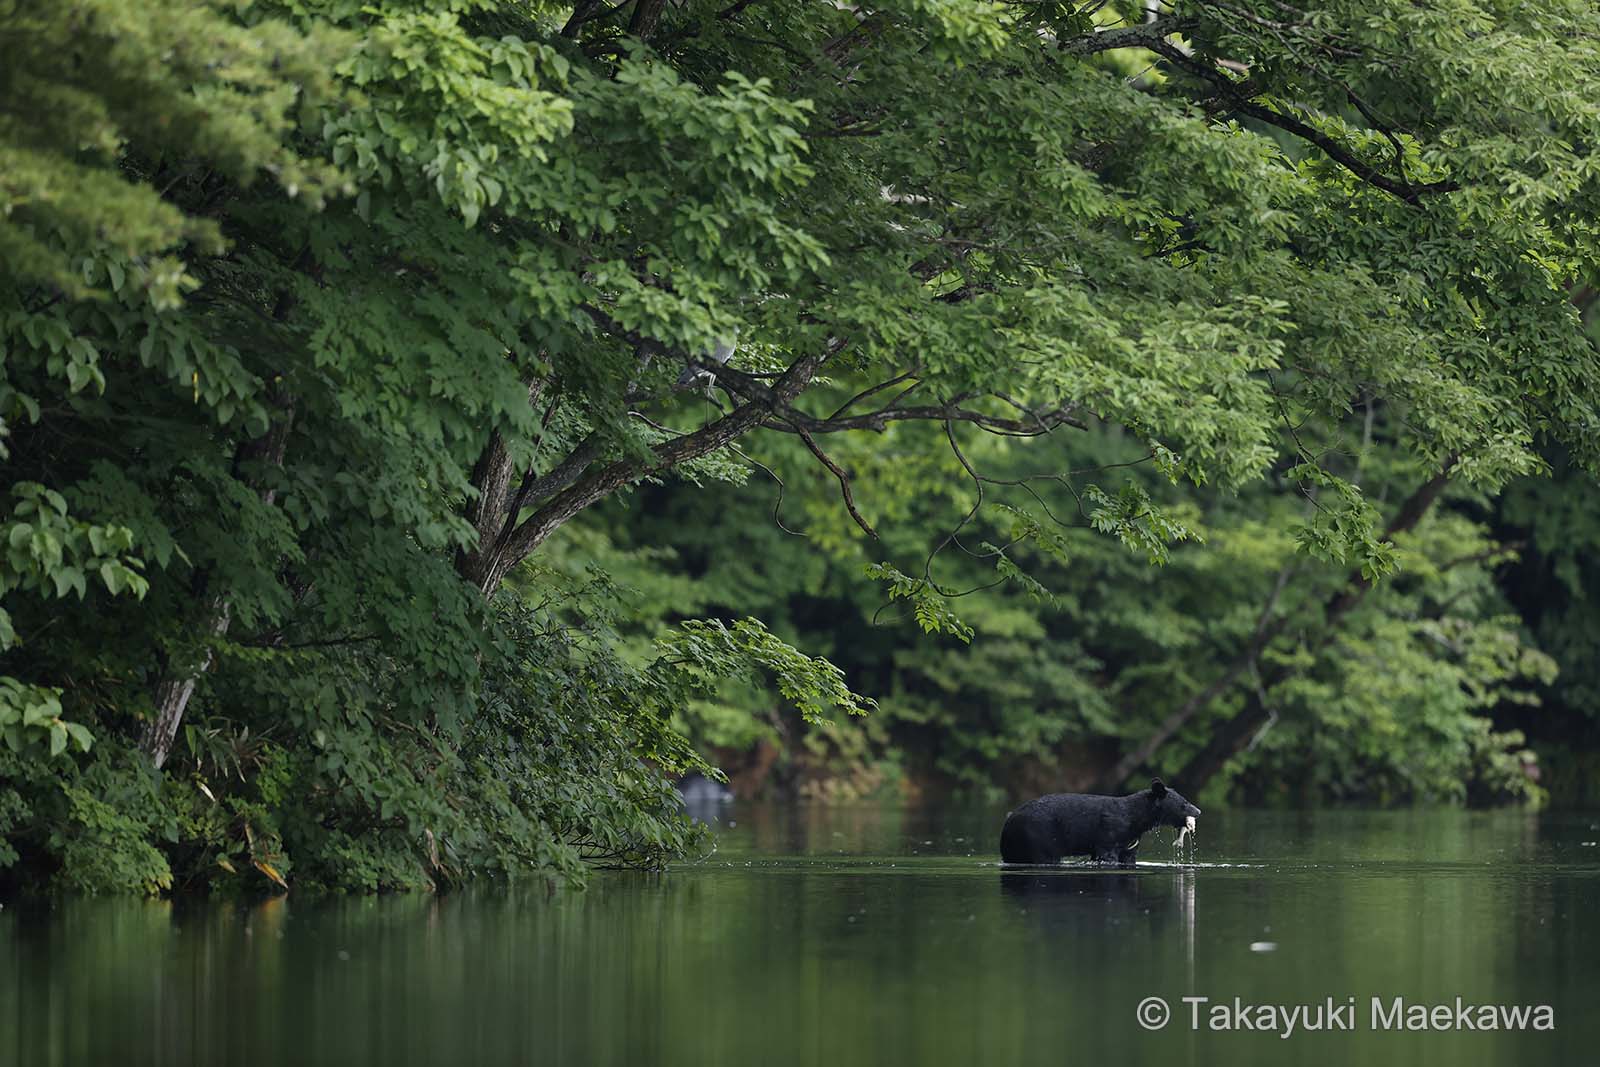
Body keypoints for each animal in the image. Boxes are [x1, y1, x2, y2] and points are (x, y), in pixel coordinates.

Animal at [998, 777, 1203, 870]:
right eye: (1184, 803)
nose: (1198, 811)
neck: (1137, 820)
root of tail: (1008, 822)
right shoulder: (1109, 833)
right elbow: (1107, 855)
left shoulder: (1131, 840)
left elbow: (1128, 858)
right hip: (1039, 837)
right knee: (1045, 857)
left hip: (1014, 845)